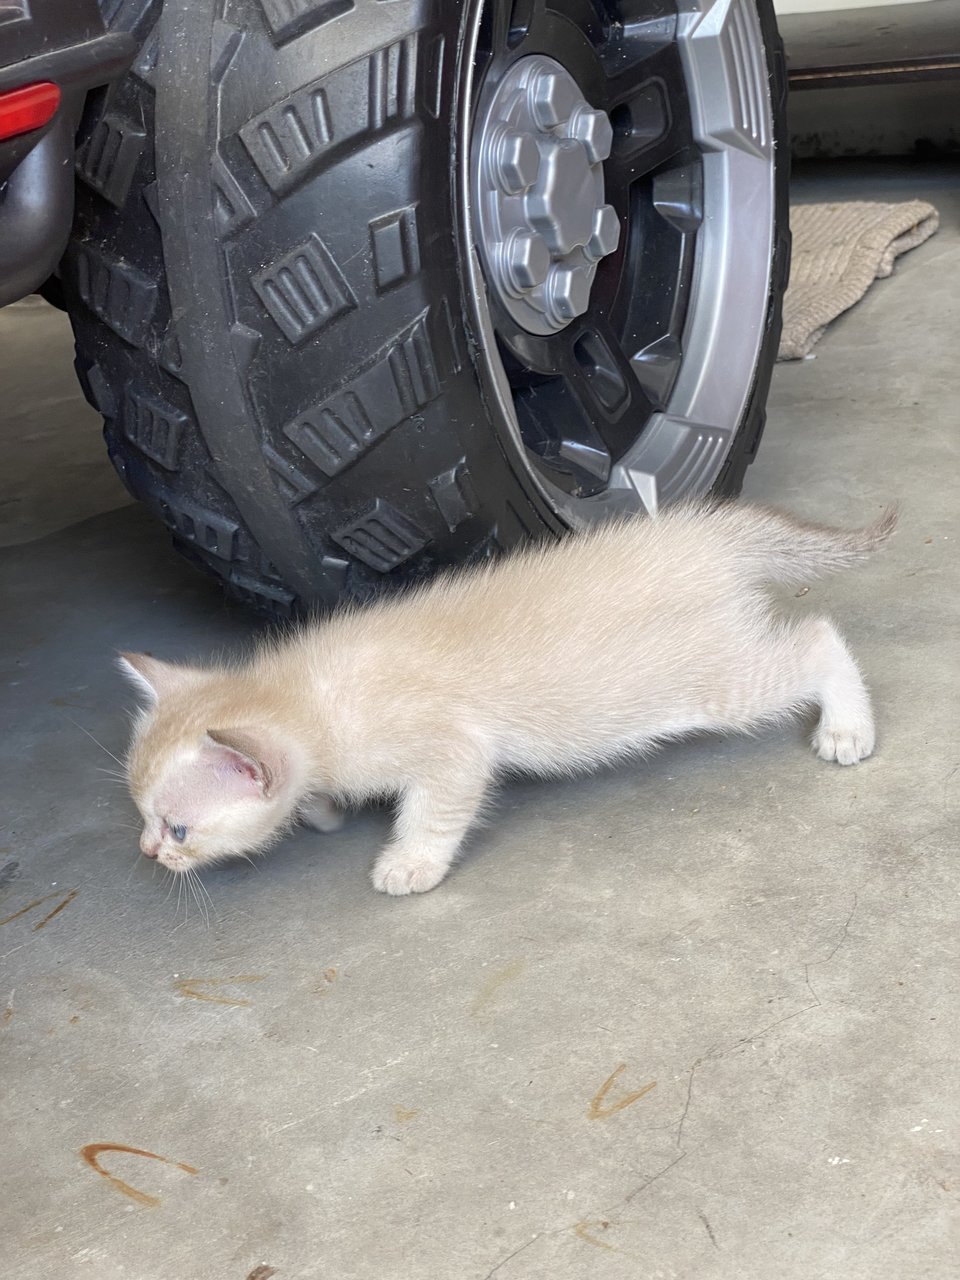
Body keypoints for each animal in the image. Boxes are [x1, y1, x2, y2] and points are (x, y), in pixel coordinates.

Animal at [118, 494, 896, 896]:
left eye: (178, 829)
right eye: (144, 817)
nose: (149, 852)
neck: (306, 695)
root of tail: (710, 532)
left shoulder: (452, 751)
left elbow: (436, 811)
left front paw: (410, 863)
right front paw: (324, 810)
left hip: (710, 681)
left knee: (818, 638)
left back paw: (846, 729)